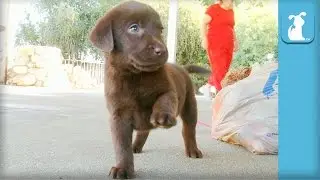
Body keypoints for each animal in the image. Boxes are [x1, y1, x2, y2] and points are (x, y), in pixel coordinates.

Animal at [89, 1, 208, 179]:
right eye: (134, 28)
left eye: (160, 30)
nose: (162, 50)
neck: (135, 76)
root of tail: (182, 68)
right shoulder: (118, 116)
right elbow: (122, 147)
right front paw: (123, 168)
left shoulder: (169, 91)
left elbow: (164, 99)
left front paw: (163, 116)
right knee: (143, 131)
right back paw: (136, 146)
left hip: (190, 106)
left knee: (189, 129)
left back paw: (193, 150)